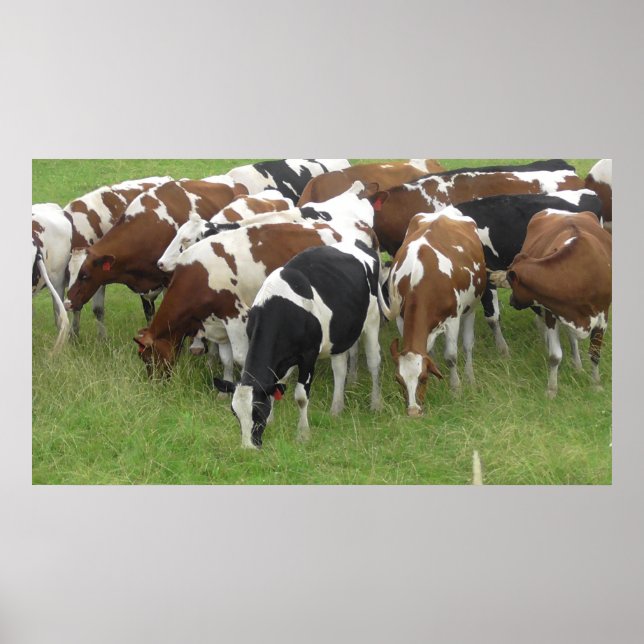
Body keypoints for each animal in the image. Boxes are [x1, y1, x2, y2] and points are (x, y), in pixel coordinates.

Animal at [213, 239, 385, 449]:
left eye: (258, 412)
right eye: (235, 413)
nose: (248, 447)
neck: (280, 308)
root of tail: (359, 243)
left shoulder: (308, 355)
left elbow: (301, 397)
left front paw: (303, 434)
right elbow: (275, 387)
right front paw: (273, 421)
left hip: (372, 320)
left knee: (374, 362)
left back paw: (376, 404)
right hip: (338, 334)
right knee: (340, 368)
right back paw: (336, 408)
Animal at [385, 210, 487, 416]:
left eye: (423, 378)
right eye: (398, 379)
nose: (413, 411)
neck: (420, 279)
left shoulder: (453, 319)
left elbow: (451, 356)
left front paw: (456, 389)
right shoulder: (400, 317)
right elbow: (429, 354)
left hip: (471, 308)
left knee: (468, 345)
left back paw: (470, 377)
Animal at [502, 210, 611, 397]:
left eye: (510, 281)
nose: (511, 301)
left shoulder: (603, 314)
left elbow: (595, 353)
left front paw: (596, 384)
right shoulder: (552, 312)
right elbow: (555, 356)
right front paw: (552, 389)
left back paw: (577, 366)